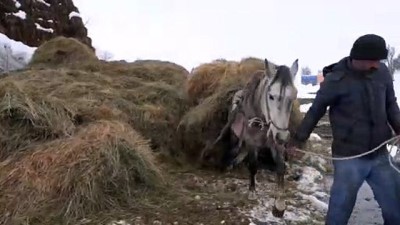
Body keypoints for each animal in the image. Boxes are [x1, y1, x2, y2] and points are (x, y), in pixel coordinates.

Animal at [199, 58, 296, 218]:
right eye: (271, 96)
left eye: (294, 96)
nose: (282, 136)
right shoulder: (252, 142)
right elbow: (253, 165)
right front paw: (252, 192)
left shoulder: (276, 144)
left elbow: (281, 167)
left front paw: (279, 205)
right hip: (235, 134)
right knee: (234, 149)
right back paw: (228, 164)